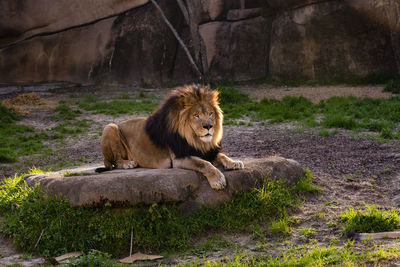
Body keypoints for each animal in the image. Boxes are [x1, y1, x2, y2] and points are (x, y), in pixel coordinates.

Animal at [96, 85, 244, 189]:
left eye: (210, 114)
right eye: (196, 115)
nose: (208, 126)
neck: (197, 140)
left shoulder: (209, 151)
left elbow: (222, 156)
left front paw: (234, 162)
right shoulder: (179, 158)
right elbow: (204, 164)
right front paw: (218, 180)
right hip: (110, 126)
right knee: (115, 161)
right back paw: (128, 163)